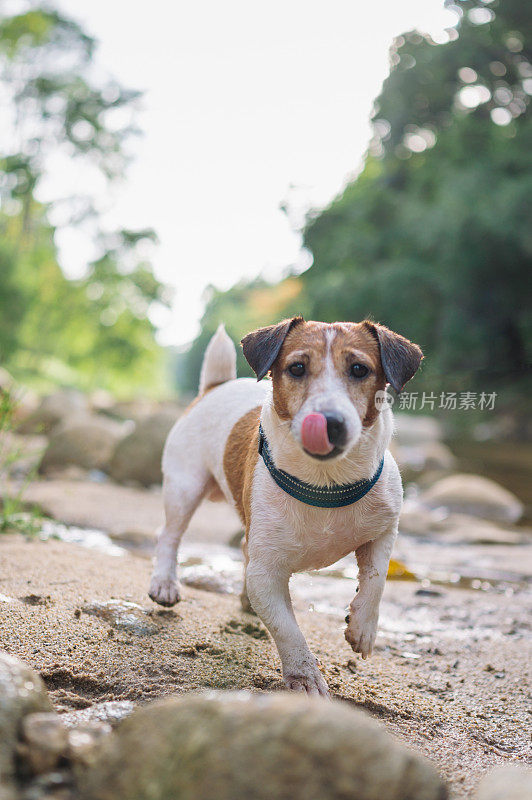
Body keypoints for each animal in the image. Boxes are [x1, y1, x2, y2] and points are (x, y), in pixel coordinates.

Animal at [150, 316, 424, 696]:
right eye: (297, 368)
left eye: (359, 369)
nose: (330, 422)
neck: (326, 483)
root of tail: (215, 386)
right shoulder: (265, 575)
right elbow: (287, 629)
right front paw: (305, 676)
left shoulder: (385, 528)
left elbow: (377, 578)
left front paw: (363, 627)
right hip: (184, 487)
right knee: (169, 535)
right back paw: (164, 582)